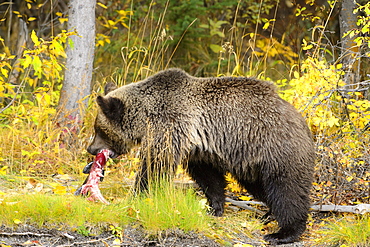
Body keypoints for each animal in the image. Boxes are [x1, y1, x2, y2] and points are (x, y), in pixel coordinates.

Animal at [87, 68, 316, 244]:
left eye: (99, 129)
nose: (91, 149)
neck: (147, 118)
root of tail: (301, 120)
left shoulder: (170, 126)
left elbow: (155, 166)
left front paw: (134, 199)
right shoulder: (199, 149)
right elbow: (209, 178)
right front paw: (214, 208)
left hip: (275, 148)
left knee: (286, 189)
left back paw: (283, 233)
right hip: (251, 161)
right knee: (261, 186)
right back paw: (268, 215)